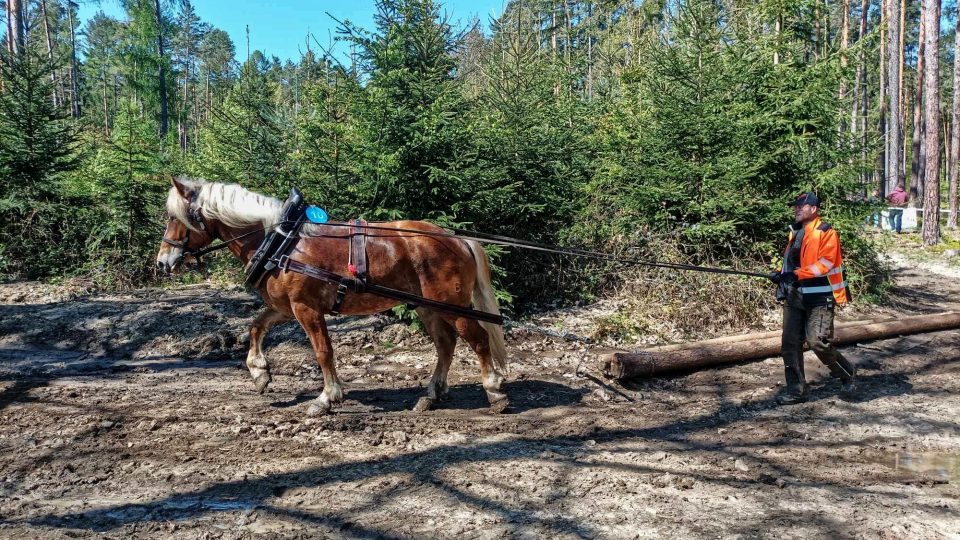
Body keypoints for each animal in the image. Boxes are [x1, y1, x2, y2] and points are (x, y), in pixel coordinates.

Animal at [156, 179, 510, 416]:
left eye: (174, 217)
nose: (161, 263)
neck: (280, 242)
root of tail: (457, 238)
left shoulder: (306, 308)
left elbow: (323, 352)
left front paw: (327, 398)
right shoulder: (285, 307)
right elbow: (256, 327)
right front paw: (259, 373)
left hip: (452, 305)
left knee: (477, 339)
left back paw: (494, 391)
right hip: (428, 308)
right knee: (446, 345)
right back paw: (431, 395)